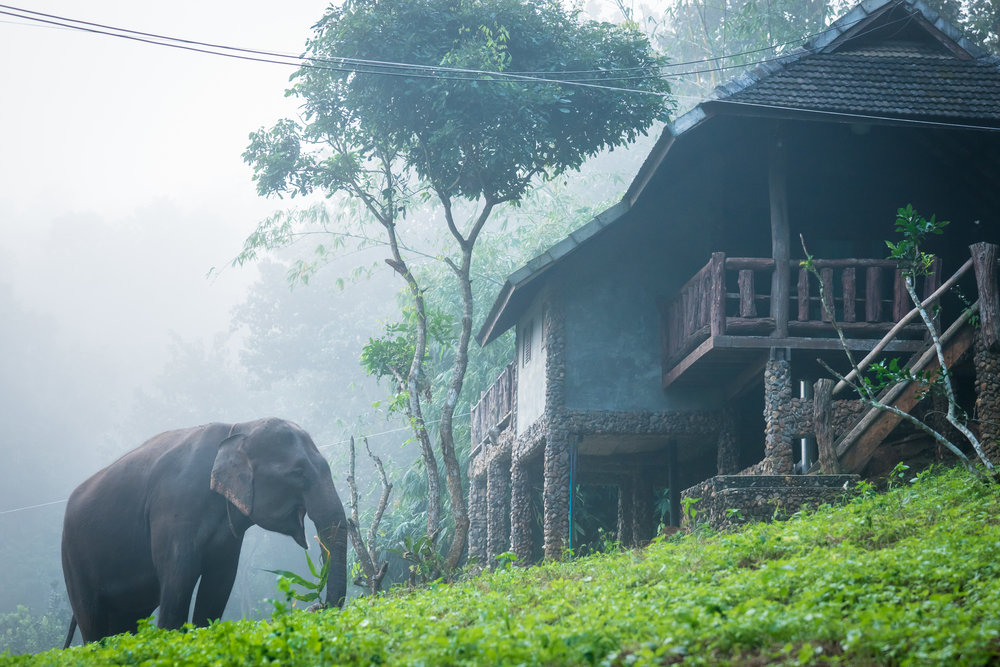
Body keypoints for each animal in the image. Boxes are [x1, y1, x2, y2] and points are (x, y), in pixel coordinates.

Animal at [60, 418, 348, 648]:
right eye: (298, 473)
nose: (317, 605)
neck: (239, 428)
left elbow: (219, 583)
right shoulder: (175, 507)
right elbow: (179, 578)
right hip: (73, 561)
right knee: (92, 621)